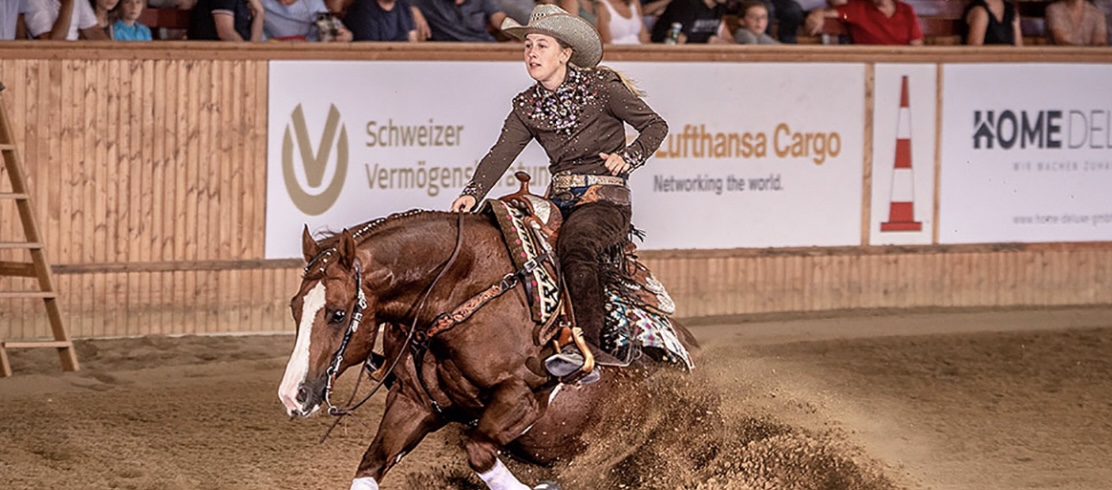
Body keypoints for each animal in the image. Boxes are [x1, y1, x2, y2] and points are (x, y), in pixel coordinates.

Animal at [277, 209, 697, 490]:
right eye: (294, 306)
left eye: (337, 313)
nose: (292, 395)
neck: (457, 292)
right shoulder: (412, 402)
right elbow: (369, 466)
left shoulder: (522, 398)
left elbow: (478, 451)